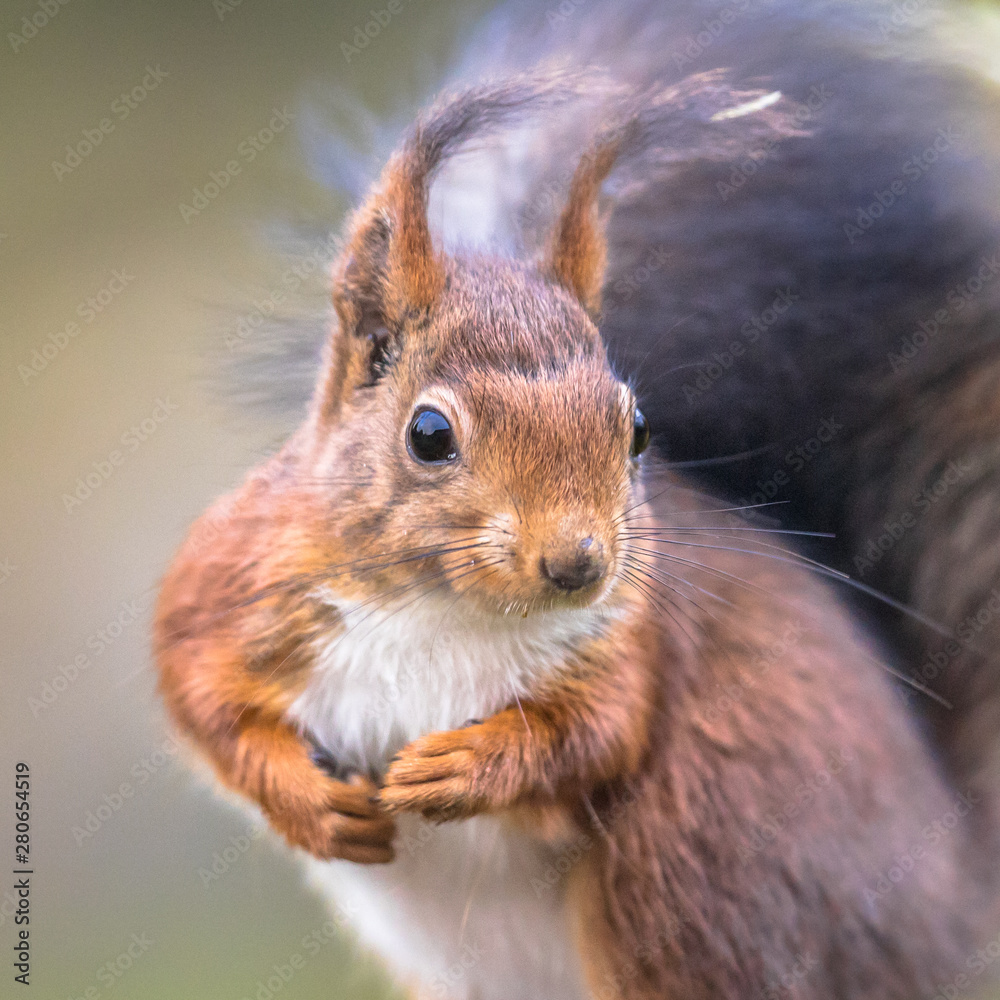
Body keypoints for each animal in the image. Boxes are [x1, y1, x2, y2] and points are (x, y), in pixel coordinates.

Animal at [155, 2, 1000, 997]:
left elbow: (603, 729)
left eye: (636, 427)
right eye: (429, 434)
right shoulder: (234, 579)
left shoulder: (633, 638)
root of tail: (961, 919)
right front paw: (308, 802)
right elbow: (196, 694)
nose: (578, 564)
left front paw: (465, 766)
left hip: (690, 867)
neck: (445, 608)